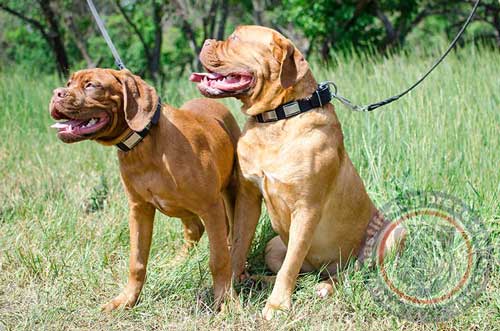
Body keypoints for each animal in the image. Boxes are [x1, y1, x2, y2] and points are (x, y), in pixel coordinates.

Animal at [49, 68, 241, 312]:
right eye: (68, 83)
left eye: (91, 85)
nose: (56, 93)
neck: (144, 143)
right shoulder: (139, 210)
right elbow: (137, 262)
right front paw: (126, 299)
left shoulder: (210, 206)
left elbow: (218, 259)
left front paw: (226, 301)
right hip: (181, 206)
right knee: (194, 228)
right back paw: (179, 261)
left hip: (230, 190)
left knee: (229, 231)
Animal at [189, 24, 404, 320]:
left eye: (235, 38)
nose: (207, 41)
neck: (277, 117)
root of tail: (324, 269)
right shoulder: (248, 199)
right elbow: (239, 248)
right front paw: (231, 290)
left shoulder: (307, 209)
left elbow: (290, 264)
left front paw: (277, 305)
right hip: (273, 246)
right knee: (299, 272)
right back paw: (256, 280)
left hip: (394, 234)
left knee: (352, 272)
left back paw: (325, 286)